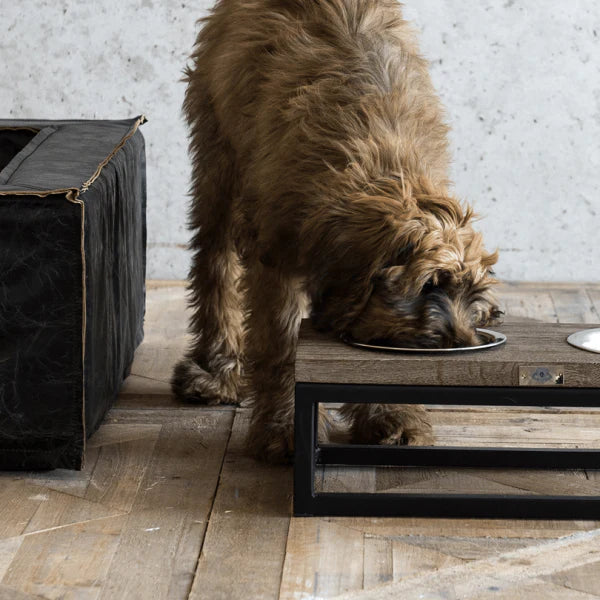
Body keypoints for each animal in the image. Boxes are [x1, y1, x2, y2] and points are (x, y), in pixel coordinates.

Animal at [172, 0, 502, 464]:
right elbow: (280, 347)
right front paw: (284, 430)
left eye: (474, 296)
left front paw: (393, 418)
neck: (381, 168)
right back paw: (218, 372)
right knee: (214, 265)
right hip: (217, 160)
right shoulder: (275, 261)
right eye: (427, 286)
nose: (459, 343)